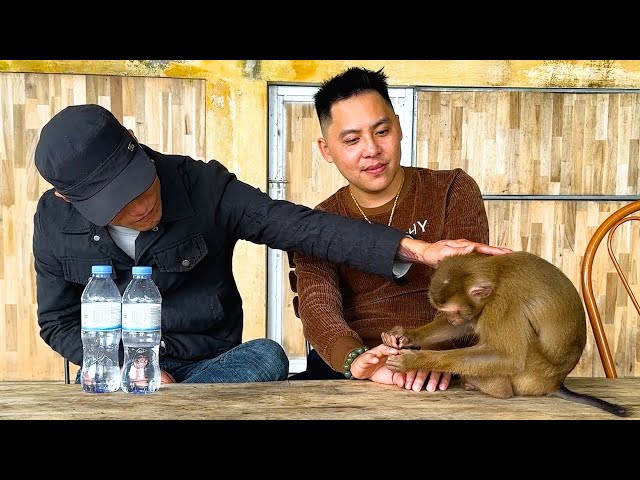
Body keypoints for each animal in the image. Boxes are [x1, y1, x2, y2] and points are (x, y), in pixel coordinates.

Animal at [382, 251, 628, 416]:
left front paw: (416, 360)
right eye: (446, 313)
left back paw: (492, 388)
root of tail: (555, 383)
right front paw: (405, 335)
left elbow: (507, 356)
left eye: (454, 311)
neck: (496, 276)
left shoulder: (503, 303)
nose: (451, 318)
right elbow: (465, 325)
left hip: (532, 373)